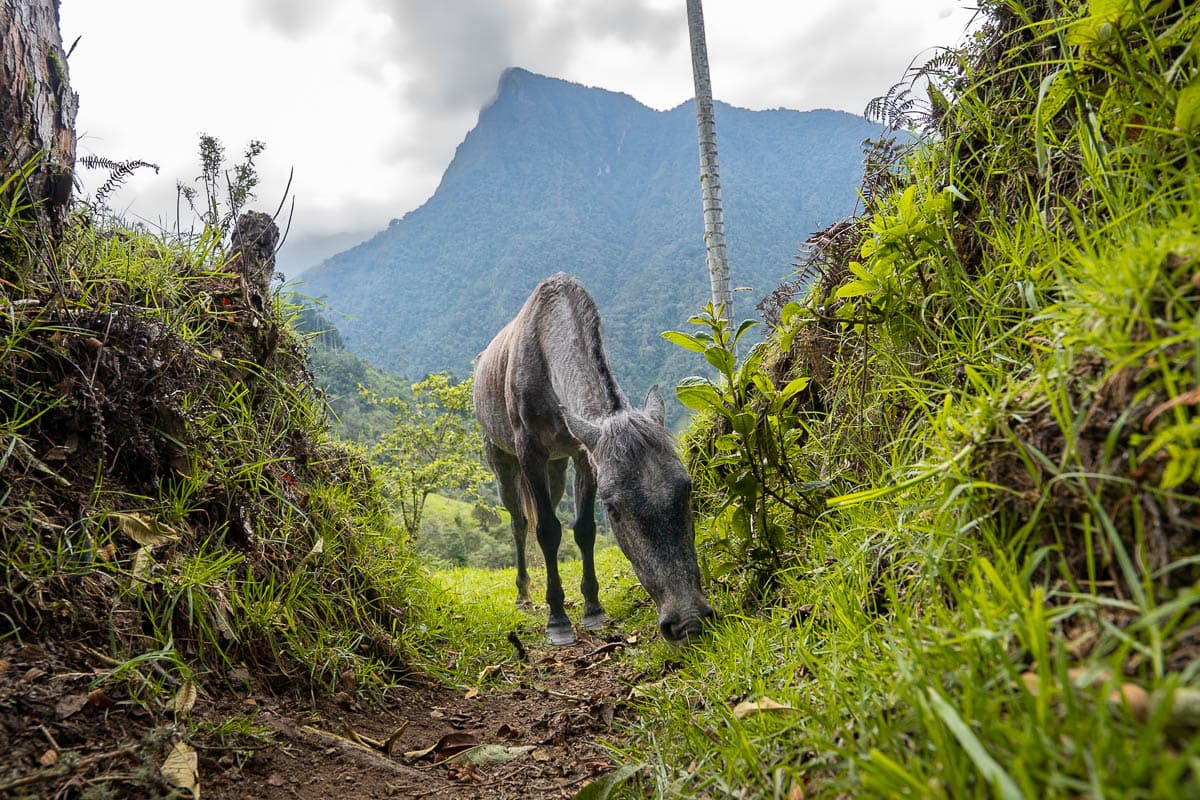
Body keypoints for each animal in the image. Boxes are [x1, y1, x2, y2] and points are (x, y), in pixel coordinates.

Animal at [470, 272, 710, 647]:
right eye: (613, 508)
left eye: (687, 488)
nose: (689, 622)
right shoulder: (530, 452)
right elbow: (548, 530)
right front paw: (557, 619)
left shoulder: (584, 454)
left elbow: (583, 529)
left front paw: (593, 609)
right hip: (501, 459)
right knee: (520, 522)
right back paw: (524, 594)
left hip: (555, 466)